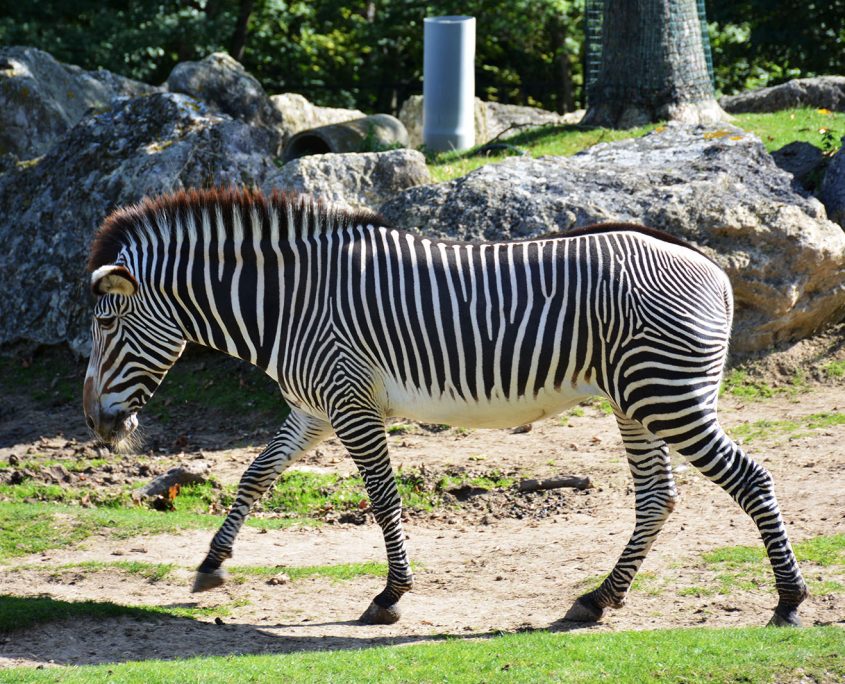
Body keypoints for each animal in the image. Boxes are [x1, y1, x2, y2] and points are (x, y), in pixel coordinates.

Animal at [82, 187, 808, 624]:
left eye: (105, 325)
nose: (95, 424)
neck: (289, 303)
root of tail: (709, 265)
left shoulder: (350, 402)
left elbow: (382, 498)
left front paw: (390, 595)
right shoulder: (315, 406)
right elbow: (258, 473)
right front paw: (211, 564)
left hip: (667, 395)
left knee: (750, 478)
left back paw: (788, 600)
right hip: (637, 401)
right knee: (658, 498)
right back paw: (600, 599)